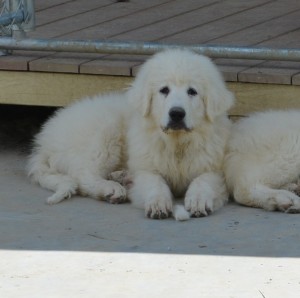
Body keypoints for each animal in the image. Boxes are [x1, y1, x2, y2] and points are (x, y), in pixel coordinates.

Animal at [28, 50, 234, 220]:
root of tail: (44, 140)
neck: (176, 143)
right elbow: (154, 182)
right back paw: (111, 189)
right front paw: (158, 203)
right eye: (164, 90)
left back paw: (121, 177)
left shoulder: (216, 168)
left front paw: (198, 200)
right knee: (83, 175)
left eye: (192, 92)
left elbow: (203, 180)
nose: (176, 114)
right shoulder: (145, 168)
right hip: (105, 130)